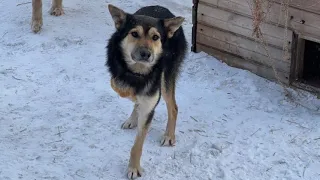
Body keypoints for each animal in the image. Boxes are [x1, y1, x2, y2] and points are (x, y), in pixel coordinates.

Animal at [107, 3, 188, 179]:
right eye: (134, 34)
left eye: (155, 37)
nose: (146, 54)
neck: (137, 71)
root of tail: (163, 9)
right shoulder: (117, 76)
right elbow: (120, 86)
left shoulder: (149, 106)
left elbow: (137, 145)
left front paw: (134, 168)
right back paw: (132, 117)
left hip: (167, 77)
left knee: (173, 107)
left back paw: (169, 136)